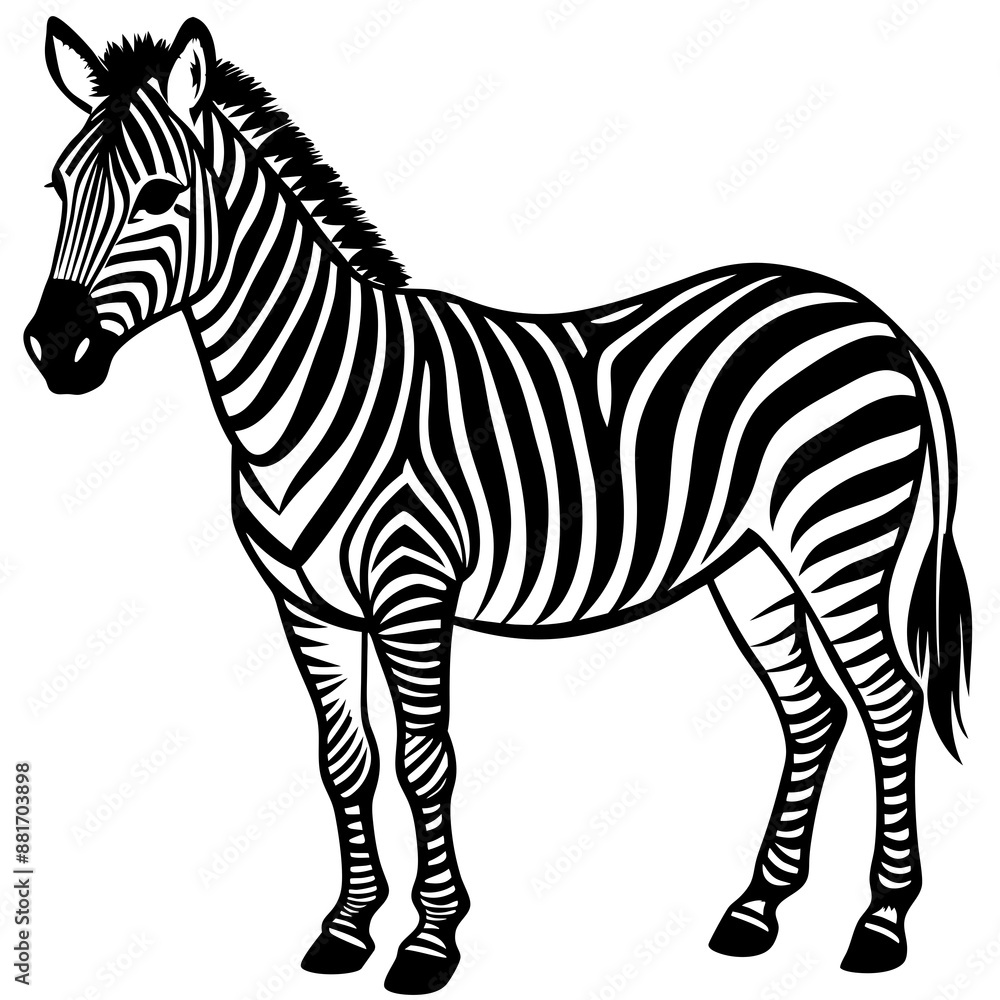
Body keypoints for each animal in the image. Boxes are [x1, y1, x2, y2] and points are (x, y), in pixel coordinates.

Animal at [25, 16, 971, 995]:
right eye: (57, 187)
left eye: (161, 195)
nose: (52, 350)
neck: (309, 389)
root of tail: (869, 315)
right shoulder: (307, 607)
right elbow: (344, 764)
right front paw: (348, 928)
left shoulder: (411, 588)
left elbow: (422, 761)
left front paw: (430, 940)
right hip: (753, 564)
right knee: (811, 709)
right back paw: (756, 912)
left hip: (840, 539)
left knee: (889, 703)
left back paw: (882, 924)